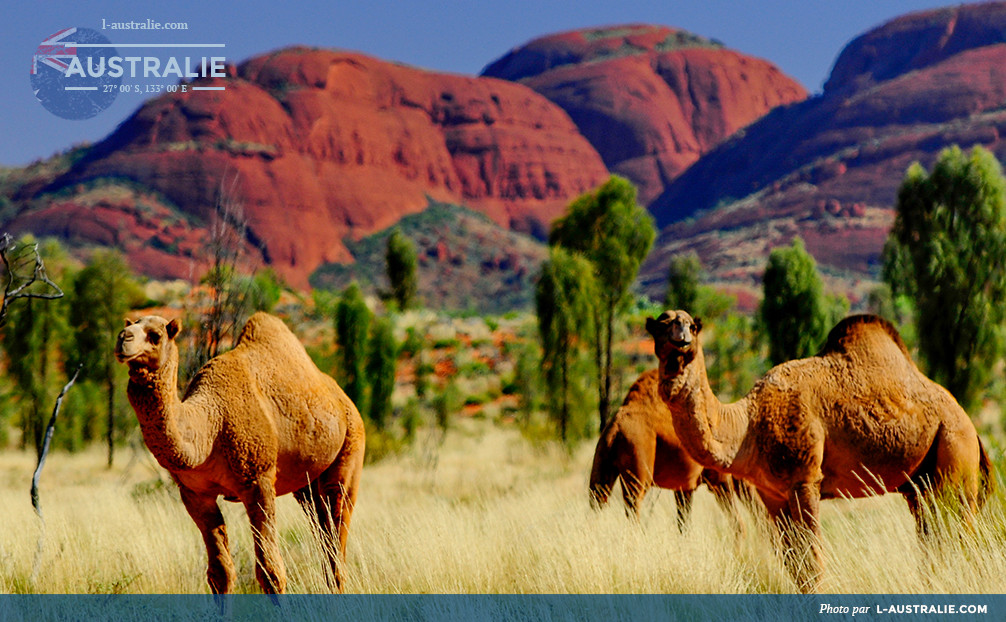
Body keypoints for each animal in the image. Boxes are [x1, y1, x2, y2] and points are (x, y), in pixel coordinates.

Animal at [115, 312, 366, 591]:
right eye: (130, 326)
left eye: (155, 336)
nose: (123, 339)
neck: (211, 425)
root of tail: (343, 399)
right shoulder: (194, 493)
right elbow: (220, 572)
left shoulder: (258, 480)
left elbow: (270, 571)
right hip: (306, 486)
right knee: (323, 532)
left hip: (350, 450)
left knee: (337, 531)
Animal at [587, 368, 756, 527]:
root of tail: (614, 429)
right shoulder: (718, 479)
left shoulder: (684, 487)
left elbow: (683, 525)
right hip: (638, 470)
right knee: (633, 509)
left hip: (601, 467)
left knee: (597, 501)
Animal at [643, 309, 989, 591]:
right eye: (661, 324)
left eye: (692, 325)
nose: (681, 338)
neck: (747, 426)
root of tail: (971, 425)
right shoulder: (772, 495)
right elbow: (793, 564)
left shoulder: (805, 479)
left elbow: (812, 562)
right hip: (920, 485)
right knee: (933, 538)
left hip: (955, 456)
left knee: (963, 537)